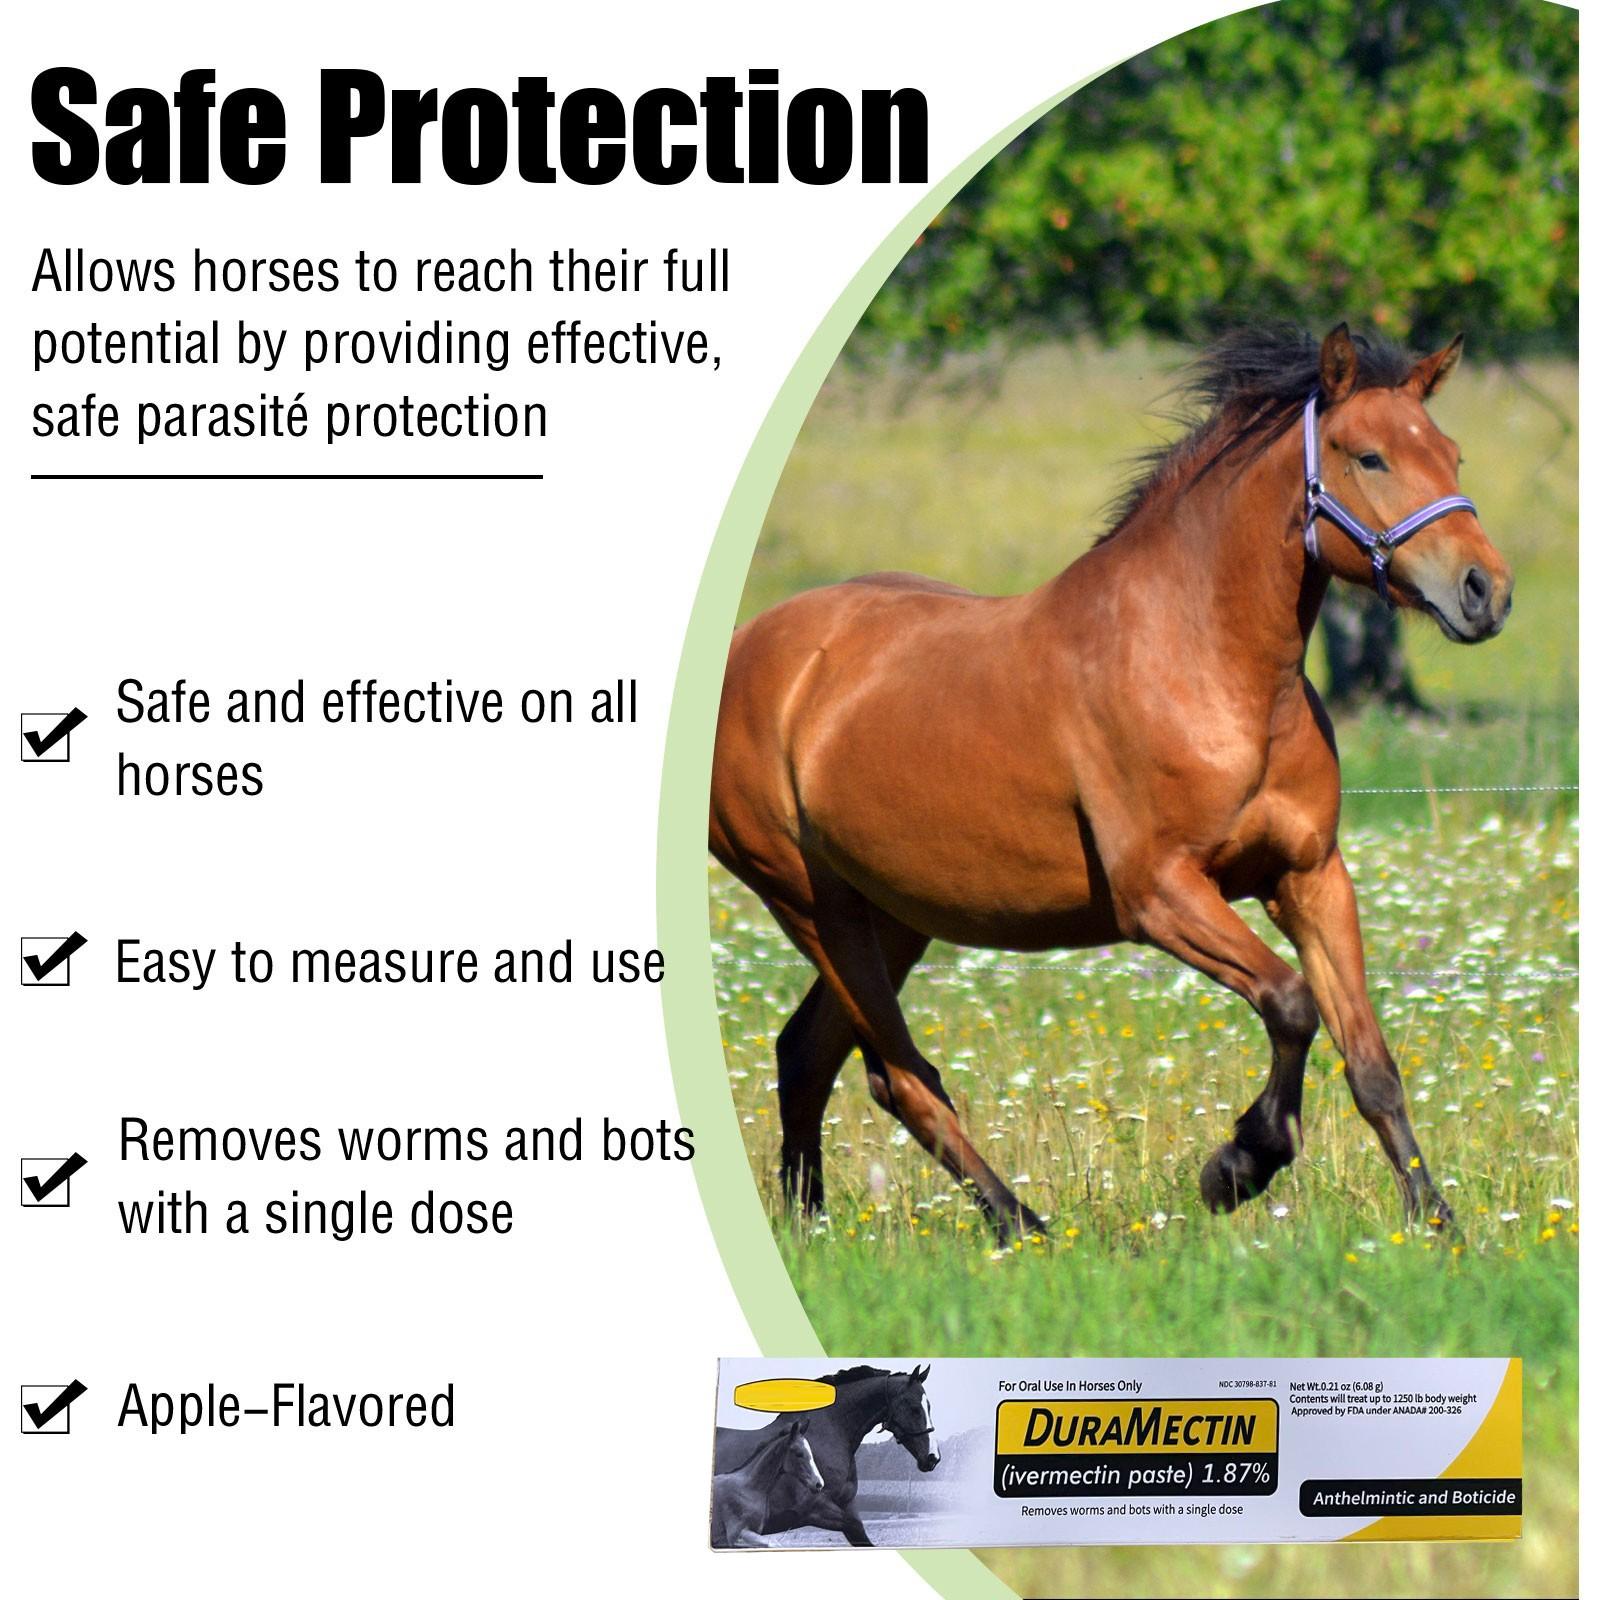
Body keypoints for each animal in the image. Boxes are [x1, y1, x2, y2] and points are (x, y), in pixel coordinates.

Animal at [710, 323, 1512, 1241]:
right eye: (1370, 456)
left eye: (1451, 453)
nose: (1485, 592)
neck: (1208, 664)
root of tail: (750, 652)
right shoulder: (1158, 893)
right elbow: (1291, 1003)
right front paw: (1238, 1167)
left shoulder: (1309, 877)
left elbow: (1372, 1062)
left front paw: (1437, 1223)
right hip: (814, 906)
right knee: (899, 1077)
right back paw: (1018, 1223)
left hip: (895, 914)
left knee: (806, 1052)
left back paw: (812, 1223)